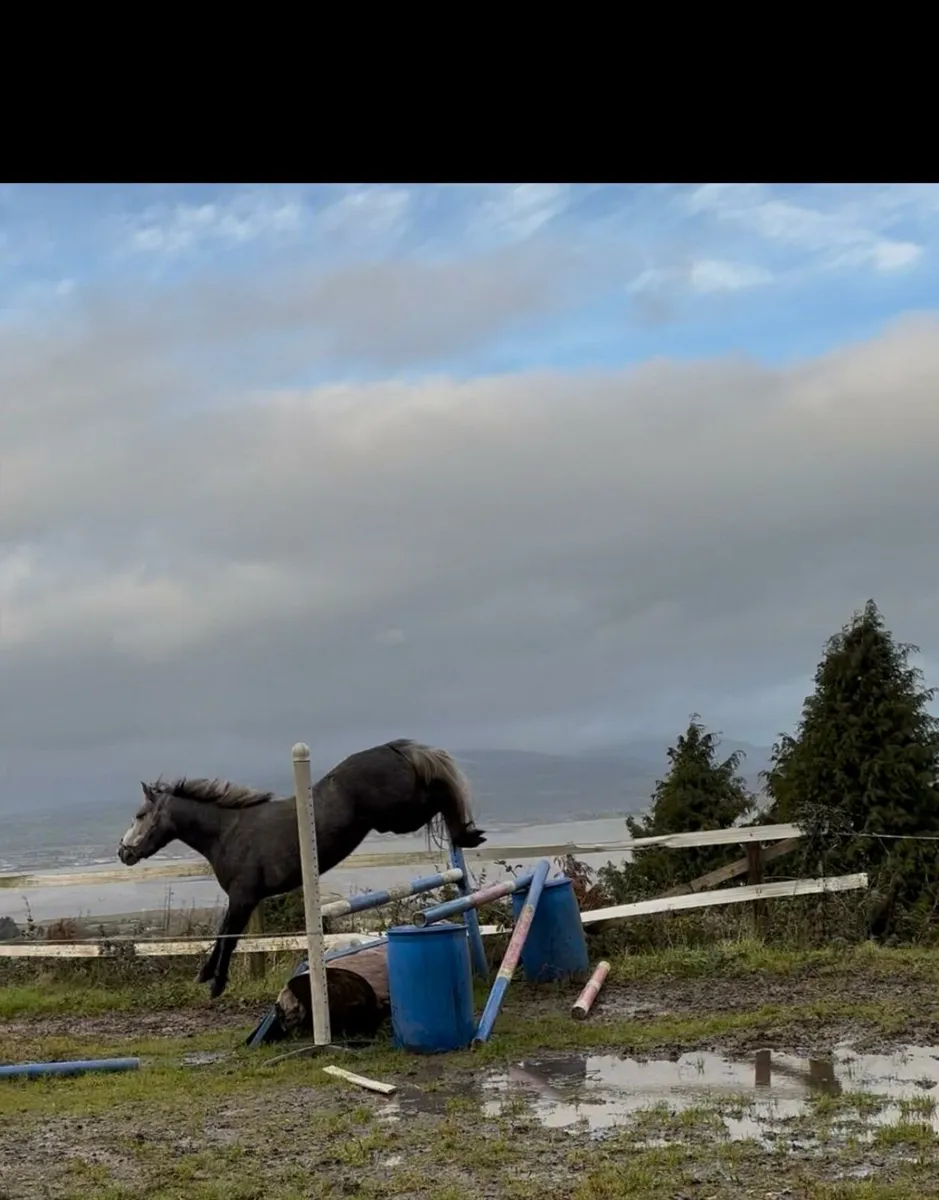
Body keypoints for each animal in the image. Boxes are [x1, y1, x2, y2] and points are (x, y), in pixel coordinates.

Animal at [117, 738, 486, 998]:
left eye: (139, 815)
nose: (123, 852)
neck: (228, 831)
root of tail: (391, 747)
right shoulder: (242, 900)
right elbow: (222, 936)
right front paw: (206, 975)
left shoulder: (243, 898)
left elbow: (228, 937)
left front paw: (216, 984)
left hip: (396, 817)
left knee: (439, 794)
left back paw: (467, 833)